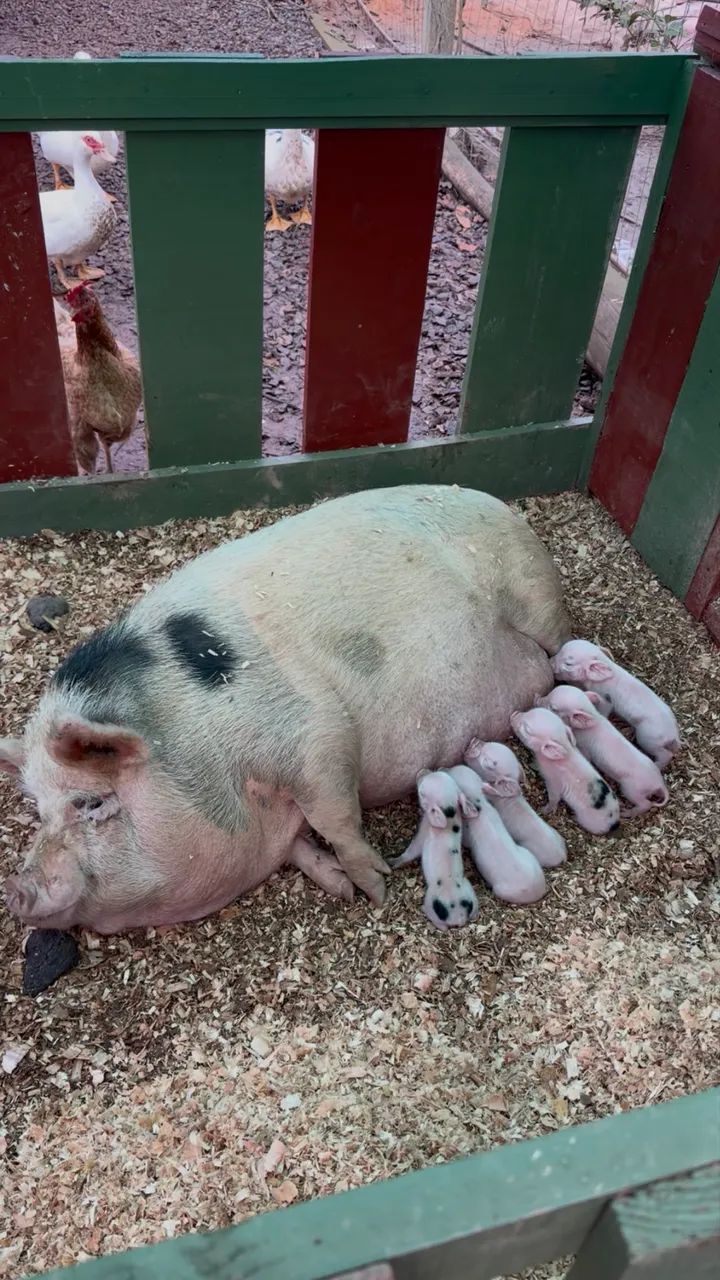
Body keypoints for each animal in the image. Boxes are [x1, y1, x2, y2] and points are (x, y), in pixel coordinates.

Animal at [444, 764, 547, 905]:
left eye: (455, 781)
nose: (451, 767)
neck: (480, 804)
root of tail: (540, 890)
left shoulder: (467, 836)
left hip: (501, 890)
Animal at [511, 707, 620, 836]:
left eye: (527, 729)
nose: (514, 714)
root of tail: (615, 822)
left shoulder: (553, 781)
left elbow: (554, 798)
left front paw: (543, 810)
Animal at [536, 686, 669, 817]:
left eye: (553, 708)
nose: (537, 699)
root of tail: (659, 783)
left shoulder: (585, 748)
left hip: (631, 790)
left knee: (646, 804)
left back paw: (626, 813)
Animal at [550, 640, 680, 770]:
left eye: (568, 663)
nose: (550, 662)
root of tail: (674, 735)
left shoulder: (604, 698)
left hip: (647, 739)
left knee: (665, 754)